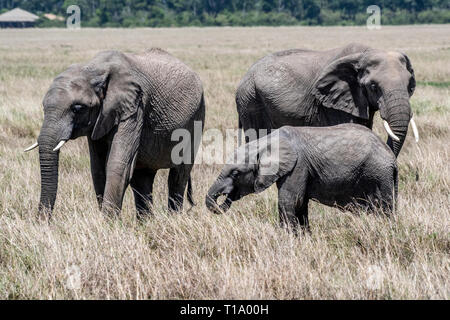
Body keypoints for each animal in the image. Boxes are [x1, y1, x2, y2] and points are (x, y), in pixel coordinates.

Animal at [25, 48, 205, 218]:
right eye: (43, 107)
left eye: (77, 108)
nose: (43, 222)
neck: (93, 69)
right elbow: (98, 169)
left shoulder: (134, 108)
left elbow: (117, 164)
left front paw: (108, 224)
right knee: (142, 180)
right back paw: (145, 223)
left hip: (196, 119)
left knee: (178, 176)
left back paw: (173, 218)